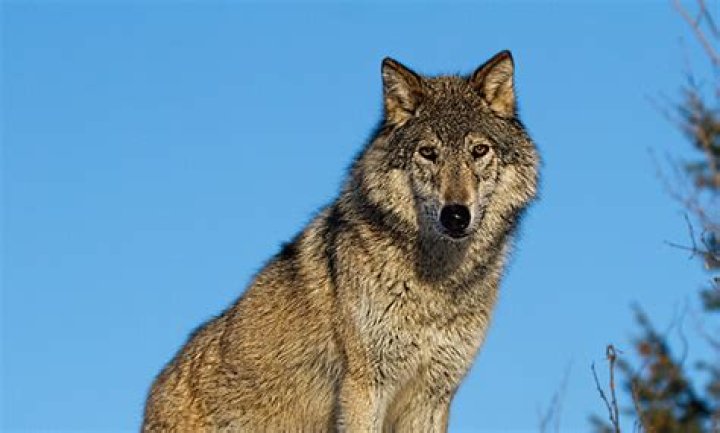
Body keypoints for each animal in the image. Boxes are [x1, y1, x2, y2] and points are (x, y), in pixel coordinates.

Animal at [142, 50, 539, 432]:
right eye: (428, 153)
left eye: (479, 151)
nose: (456, 215)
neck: (436, 283)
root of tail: (154, 392)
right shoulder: (364, 386)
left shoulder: (432, 396)